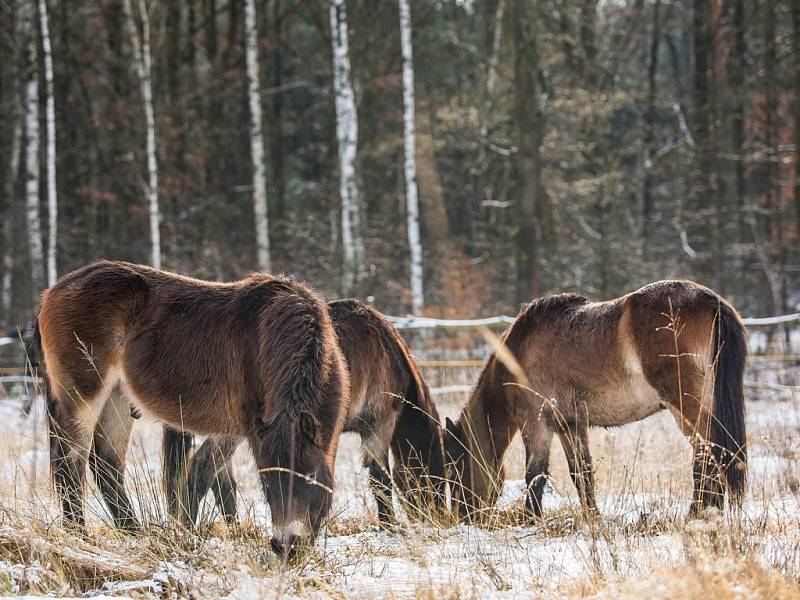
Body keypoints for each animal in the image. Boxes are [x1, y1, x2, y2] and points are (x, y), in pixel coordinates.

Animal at [31, 260, 350, 556]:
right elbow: (202, 473)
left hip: (117, 398)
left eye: (310, 475)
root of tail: (53, 291)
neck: (267, 338)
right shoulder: (240, 427)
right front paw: (187, 533)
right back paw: (81, 537)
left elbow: (215, 481)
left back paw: (134, 533)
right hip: (83, 398)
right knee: (71, 464)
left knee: (106, 464)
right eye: (267, 480)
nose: (287, 546)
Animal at [165, 298, 446, 524]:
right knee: (203, 468)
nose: (439, 516)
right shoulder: (378, 425)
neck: (388, 352)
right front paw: (391, 526)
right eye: (442, 468)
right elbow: (381, 480)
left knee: (221, 480)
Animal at [446, 282, 748, 520]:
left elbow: (535, 475)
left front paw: (531, 519)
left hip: (686, 408)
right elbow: (582, 474)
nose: (463, 515)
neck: (518, 355)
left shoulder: (536, 423)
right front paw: (593, 517)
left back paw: (697, 513)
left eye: (457, 466)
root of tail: (712, 302)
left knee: (708, 455)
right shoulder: (569, 425)